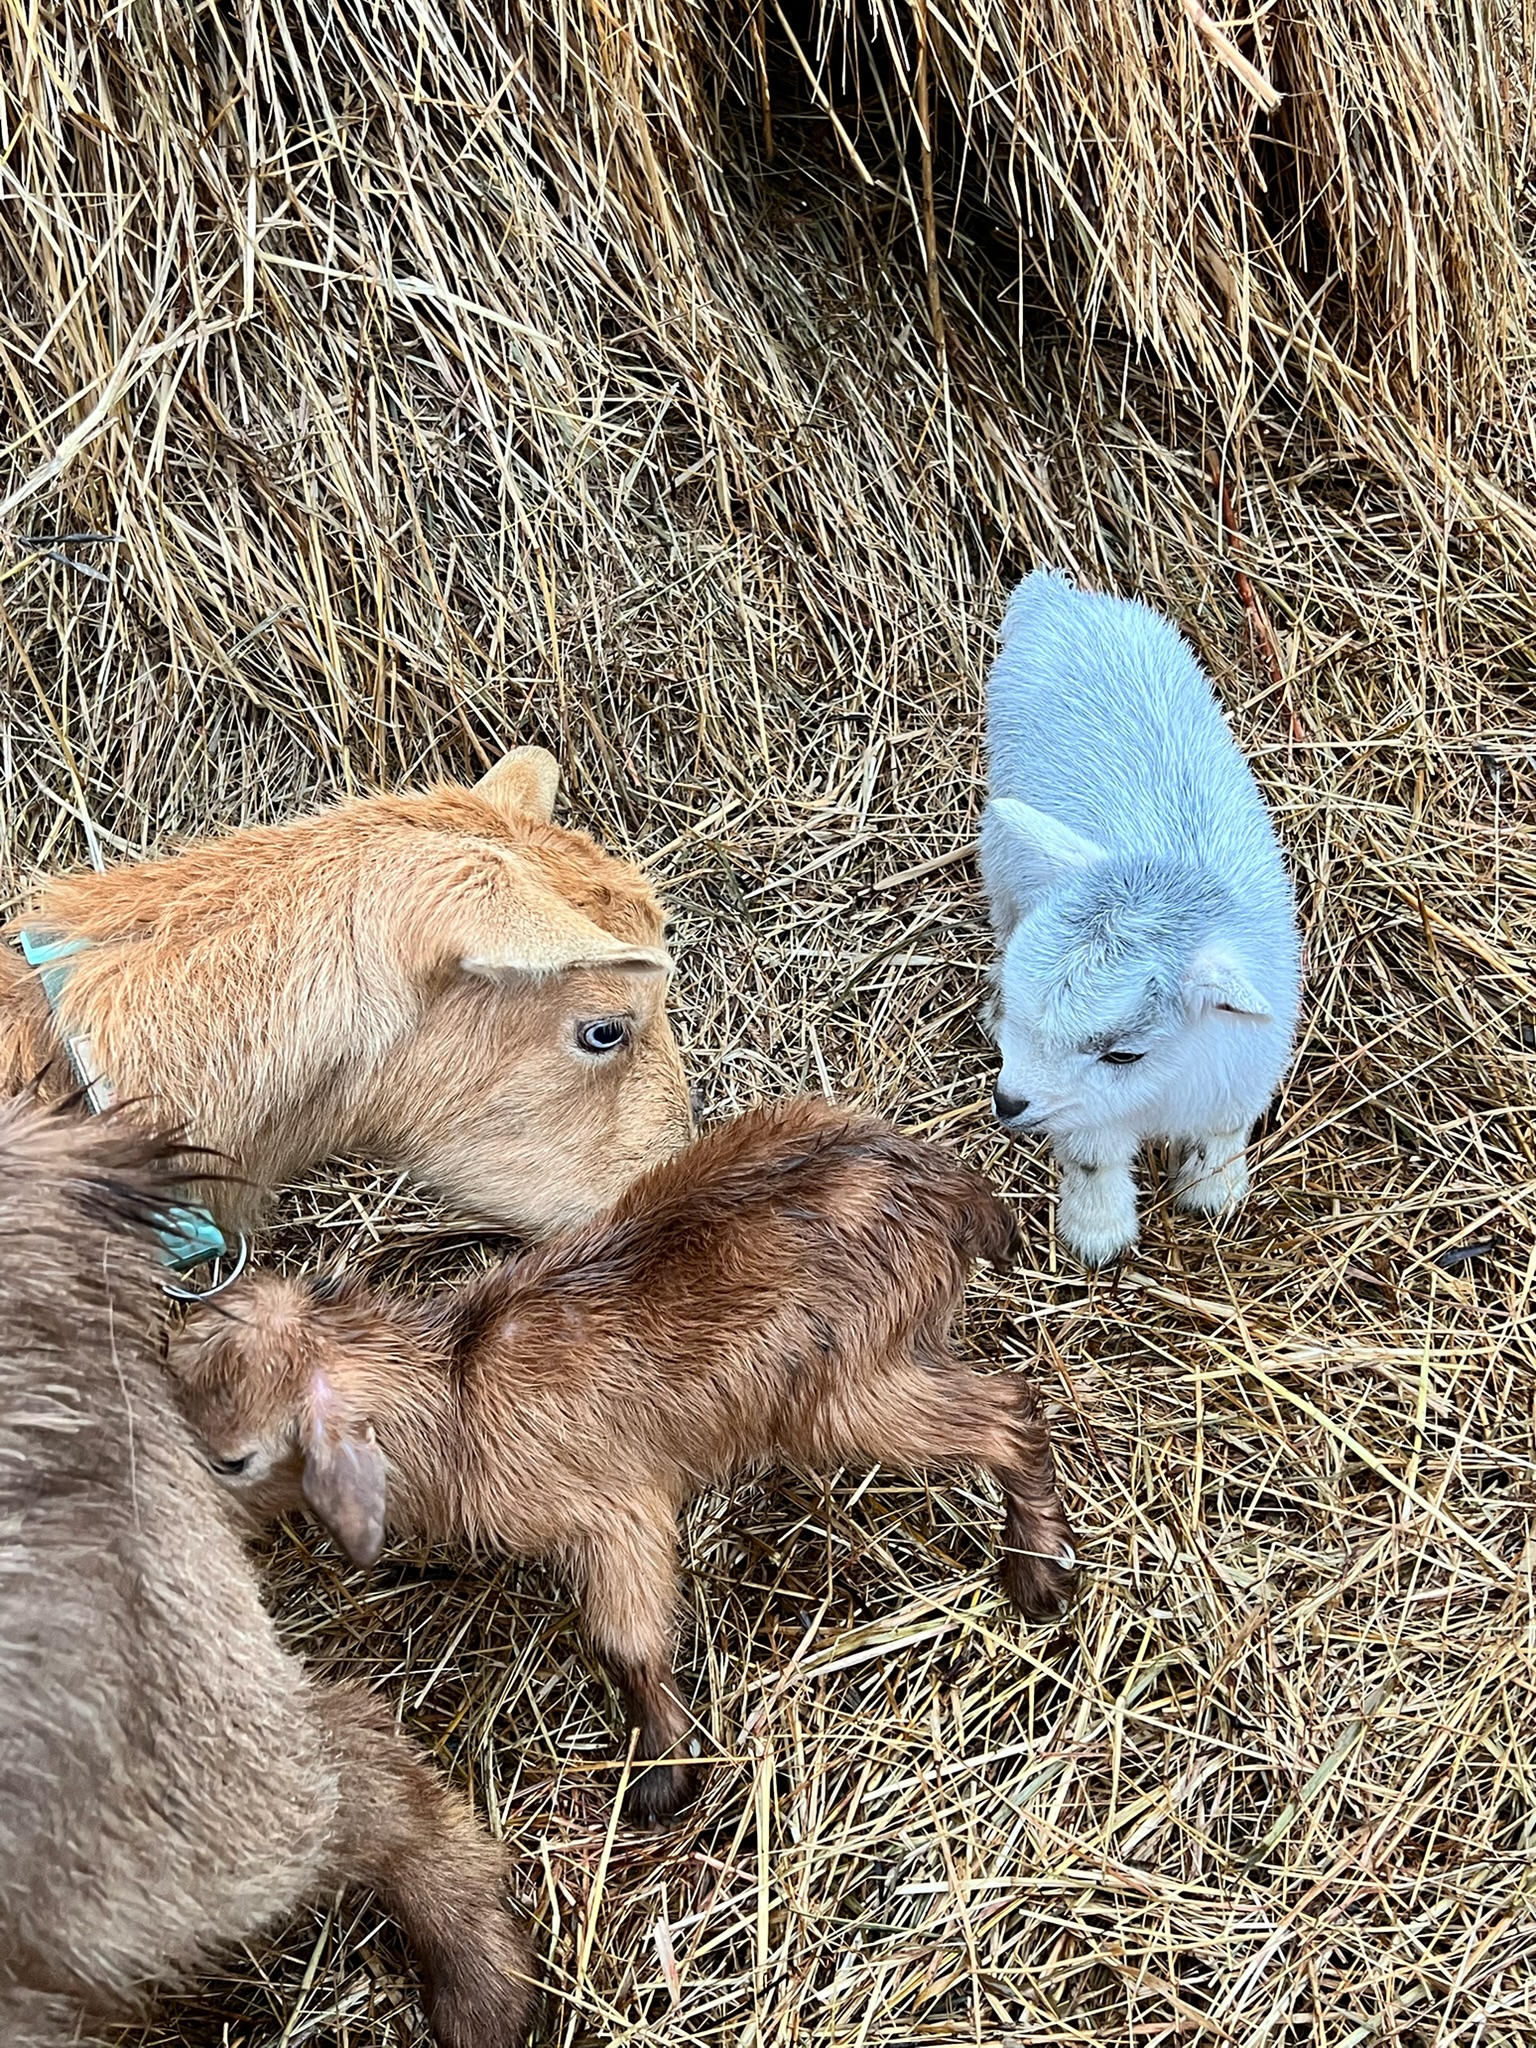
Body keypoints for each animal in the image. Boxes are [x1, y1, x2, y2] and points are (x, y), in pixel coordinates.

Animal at [169, 1098, 1077, 1824]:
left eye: (233, 1460)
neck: (456, 1393)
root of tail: (953, 1193)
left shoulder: (616, 1515)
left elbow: (625, 1642)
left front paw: (662, 1779)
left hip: (849, 1390)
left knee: (1010, 1412)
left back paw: (1040, 1571)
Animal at [980, 570, 1301, 1264]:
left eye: (1124, 1054)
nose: (1008, 1101)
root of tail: (1060, 598)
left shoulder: (1239, 1073)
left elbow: (1223, 1131)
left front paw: (1213, 1194)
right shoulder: (1088, 1113)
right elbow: (1093, 1161)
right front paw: (1097, 1234)